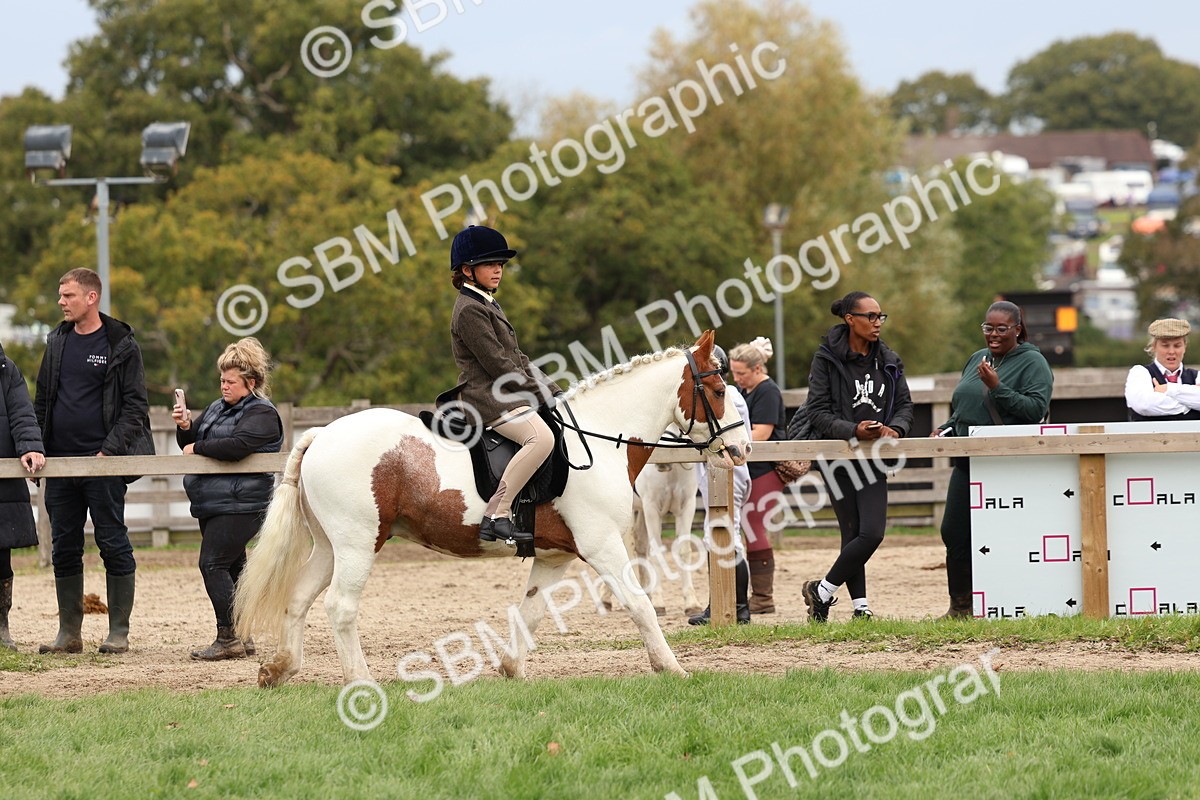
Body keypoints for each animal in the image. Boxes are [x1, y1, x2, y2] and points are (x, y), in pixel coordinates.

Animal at [233, 330, 748, 687]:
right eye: (720, 392)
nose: (741, 450)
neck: (600, 440)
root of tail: (323, 433)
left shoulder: (554, 556)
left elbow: (532, 610)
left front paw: (510, 669)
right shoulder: (602, 544)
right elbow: (638, 604)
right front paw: (672, 668)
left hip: (330, 546)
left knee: (300, 597)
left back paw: (279, 670)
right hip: (359, 543)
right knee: (340, 606)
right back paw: (359, 681)